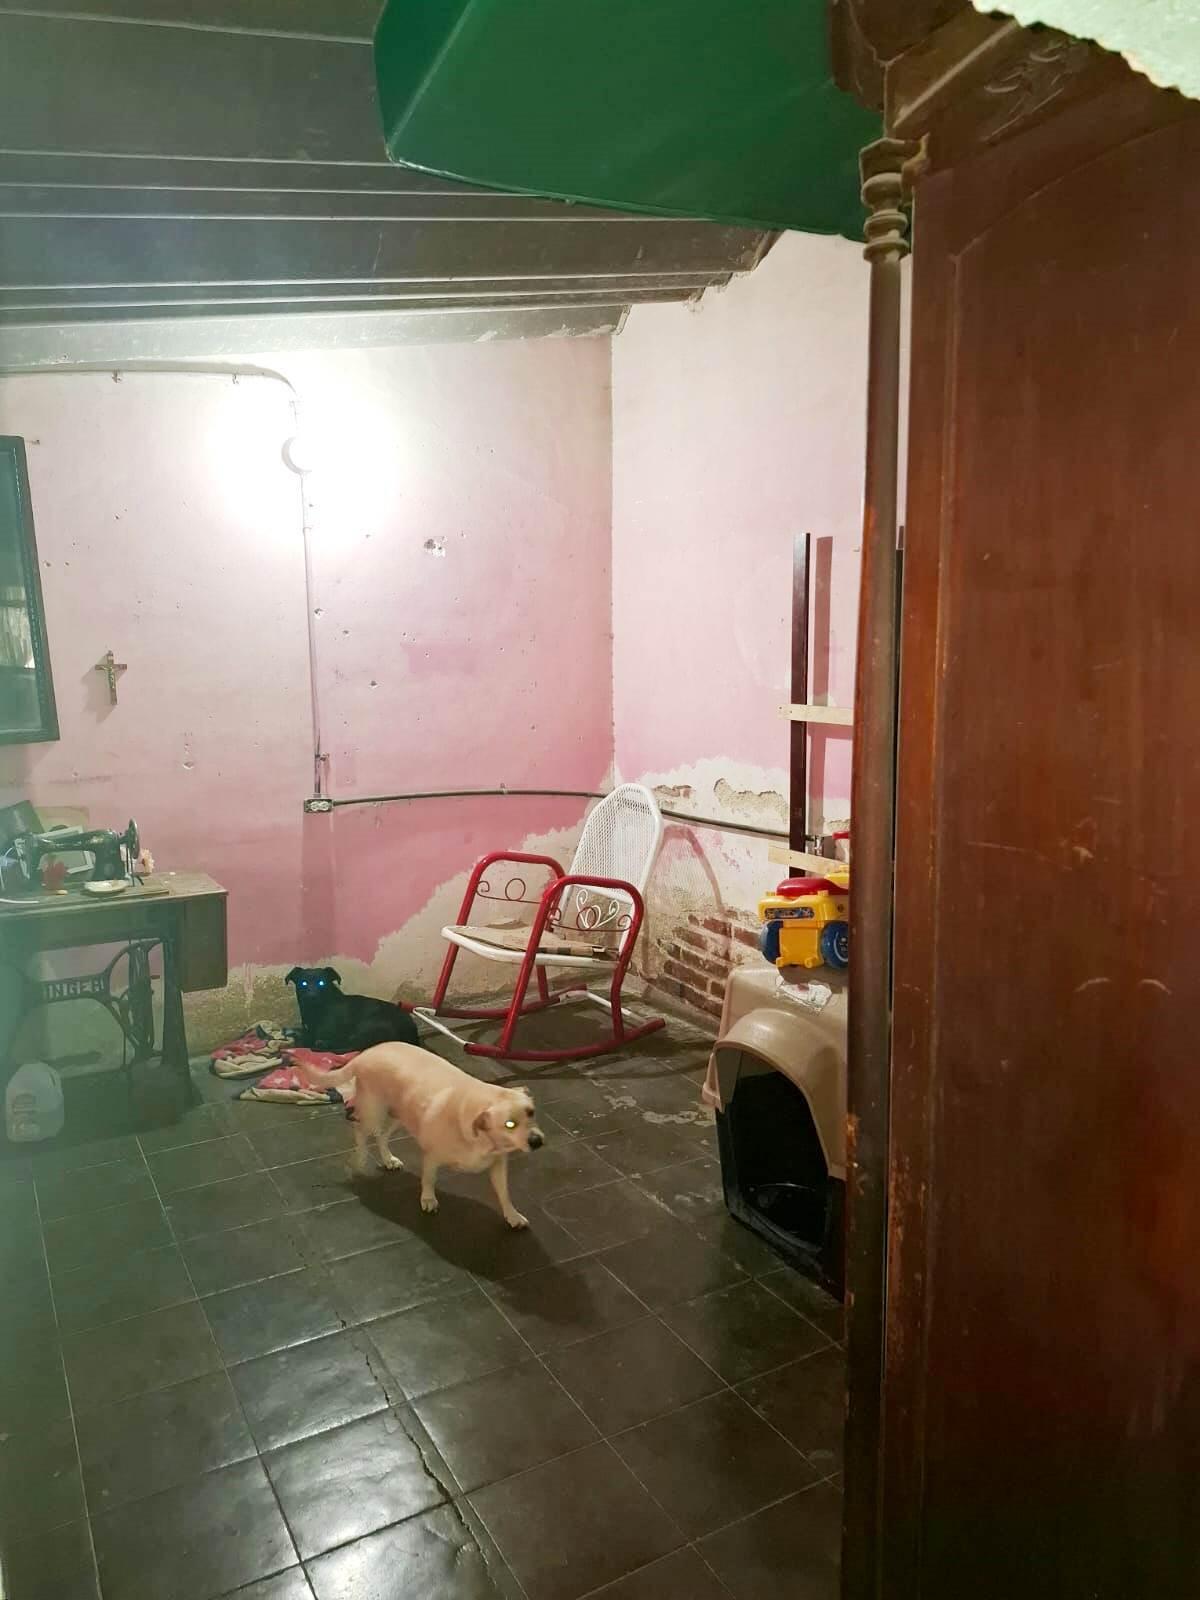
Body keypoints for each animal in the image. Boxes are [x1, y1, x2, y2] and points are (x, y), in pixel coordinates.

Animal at [296, 1040, 544, 1229]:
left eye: (531, 1112)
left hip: (400, 1117)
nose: (538, 1141)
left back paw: (388, 1159)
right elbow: (429, 1179)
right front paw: (428, 1199)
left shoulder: (498, 1164)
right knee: (361, 1133)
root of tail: (367, 1052)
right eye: (510, 1124)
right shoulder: (432, 1157)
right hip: (374, 1112)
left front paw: (512, 1215)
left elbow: (504, 1193)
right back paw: (361, 1159)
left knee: (382, 1136)